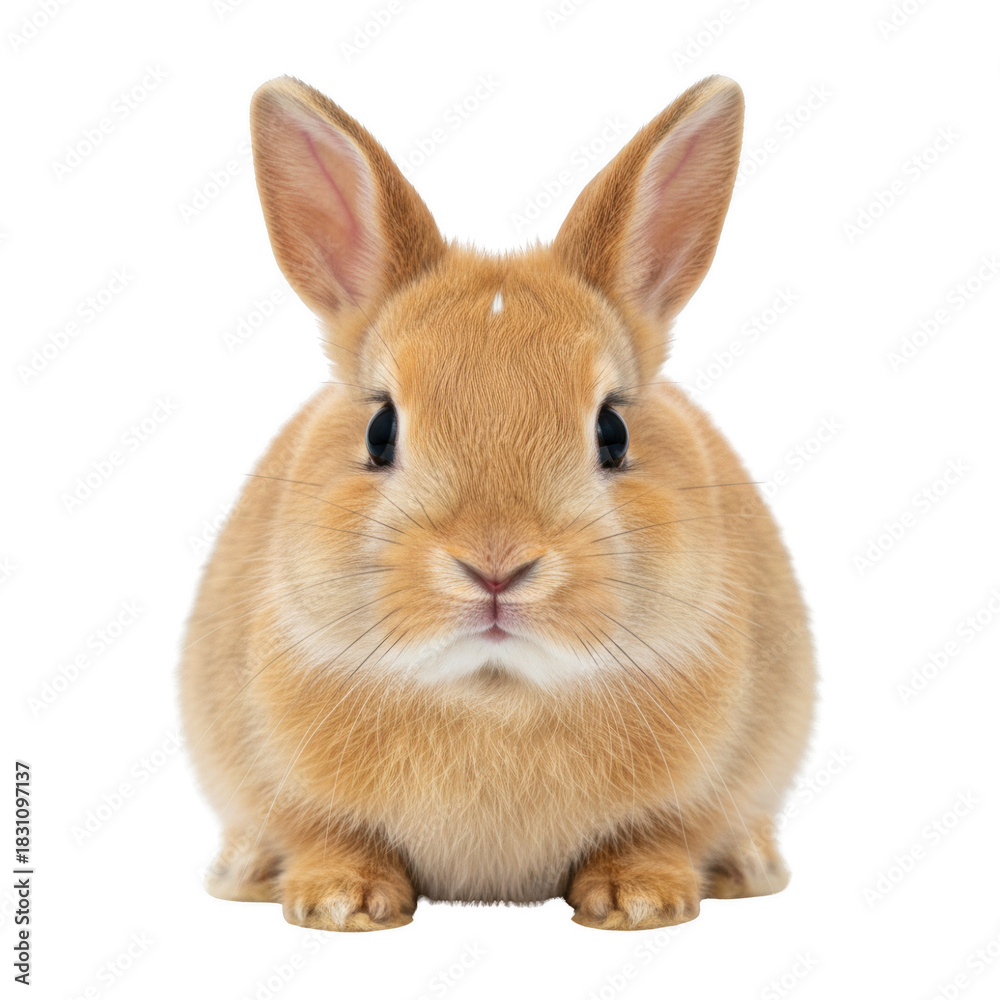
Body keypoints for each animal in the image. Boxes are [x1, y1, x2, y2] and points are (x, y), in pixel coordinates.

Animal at [178, 73, 815, 933]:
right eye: (381, 429)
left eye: (612, 431)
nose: (495, 565)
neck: (495, 692)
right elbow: (322, 833)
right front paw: (343, 903)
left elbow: (664, 833)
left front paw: (639, 901)